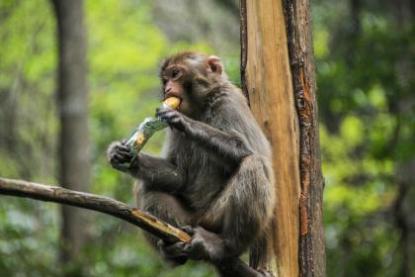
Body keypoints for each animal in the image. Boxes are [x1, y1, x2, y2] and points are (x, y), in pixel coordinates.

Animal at [107, 51, 276, 274]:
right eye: (165, 80)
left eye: (175, 74)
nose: (167, 89)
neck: (200, 107)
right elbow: (179, 175)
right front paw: (126, 155)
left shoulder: (230, 101)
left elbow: (250, 150)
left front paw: (183, 122)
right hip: (186, 221)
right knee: (145, 186)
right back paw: (172, 252)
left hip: (213, 217)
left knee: (254, 164)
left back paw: (225, 246)